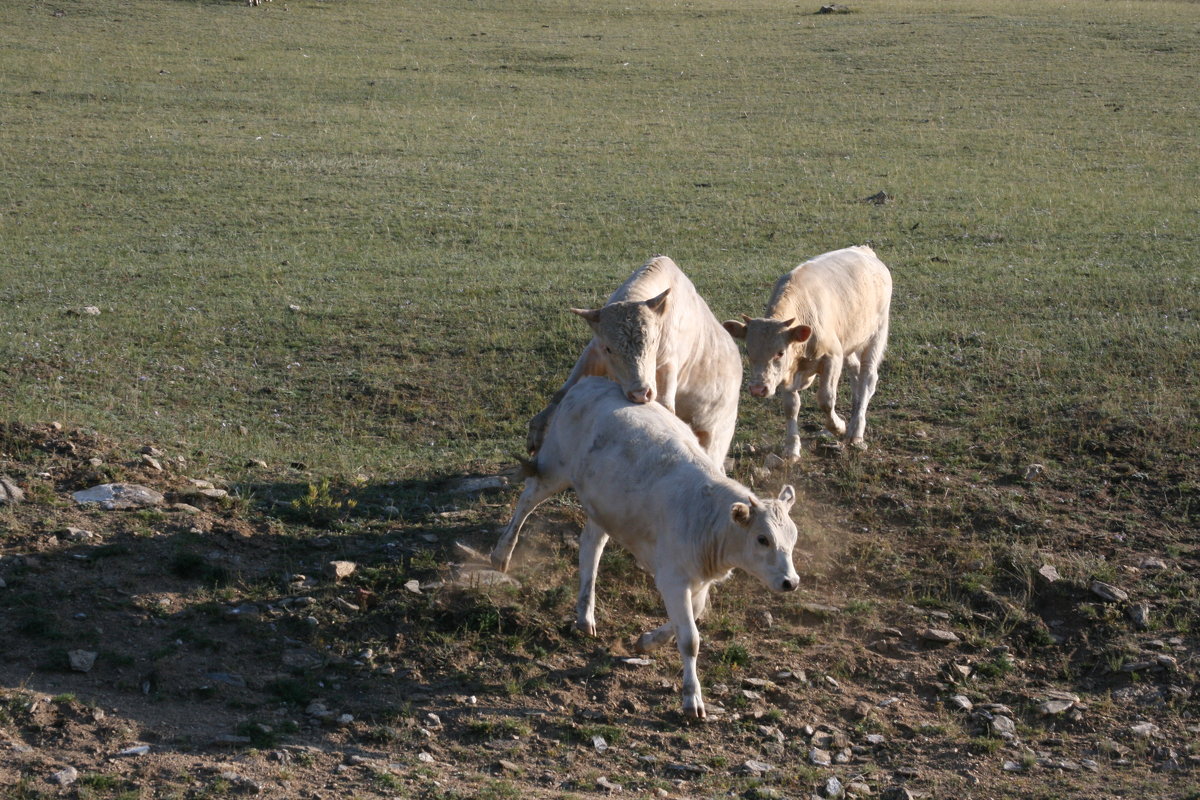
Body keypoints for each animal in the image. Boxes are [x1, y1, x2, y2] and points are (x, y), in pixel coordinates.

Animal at [492, 379, 801, 724]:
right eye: (762, 539)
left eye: (793, 537)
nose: (791, 582)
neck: (707, 516)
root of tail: (592, 382)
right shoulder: (673, 577)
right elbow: (690, 639)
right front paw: (692, 699)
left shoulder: (697, 579)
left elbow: (694, 615)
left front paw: (648, 641)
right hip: (553, 465)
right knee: (527, 500)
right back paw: (502, 554)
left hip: (604, 505)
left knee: (591, 548)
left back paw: (585, 615)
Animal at [525, 255, 739, 470]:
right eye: (609, 348)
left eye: (653, 341)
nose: (640, 393)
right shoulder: (594, 353)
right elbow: (562, 392)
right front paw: (536, 432)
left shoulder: (668, 365)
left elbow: (666, 406)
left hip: (716, 436)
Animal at [720, 245, 892, 455]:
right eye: (749, 352)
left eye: (780, 352)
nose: (758, 389)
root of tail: (864, 250)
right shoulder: (788, 372)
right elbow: (791, 406)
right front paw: (792, 447)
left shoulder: (832, 357)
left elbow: (826, 399)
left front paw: (838, 426)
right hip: (849, 341)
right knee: (856, 372)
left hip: (877, 333)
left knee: (868, 377)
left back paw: (856, 431)